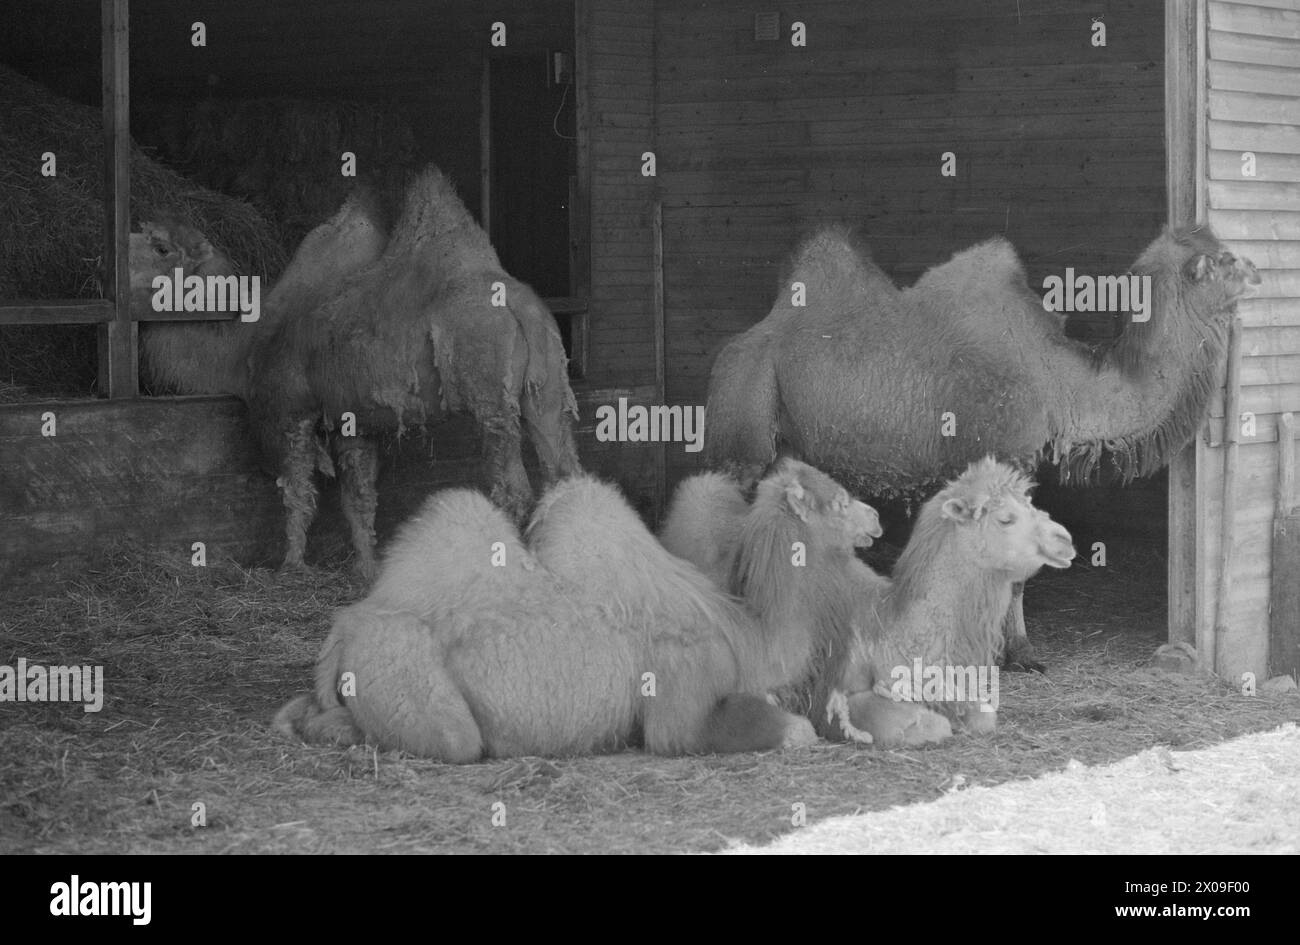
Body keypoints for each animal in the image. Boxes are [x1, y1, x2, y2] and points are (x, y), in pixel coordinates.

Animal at [246, 163, 579, 579]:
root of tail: (524, 308)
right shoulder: (353, 423)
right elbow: (359, 497)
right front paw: (368, 568)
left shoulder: (293, 412)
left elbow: (297, 493)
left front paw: (291, 565)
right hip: (546, 390)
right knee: (563, 473)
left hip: (493, 401)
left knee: (512, 489)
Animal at [274, 462, 883, 764]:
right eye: (838, 501)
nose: (877, 519)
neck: (749, 634)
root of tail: (344, 628)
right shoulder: (683, 688)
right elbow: (791, 730)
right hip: (412, 680)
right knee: (449, 740)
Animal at [660, 457, 1076, 748]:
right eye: (1006, 518)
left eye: (1032, 505)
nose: (1065, 539)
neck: (893, 628)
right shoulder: (848, 694)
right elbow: (930, 724)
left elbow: (984, 715)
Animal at [702, 224, 1258, 670]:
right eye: (1225, 260)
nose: (1257, 270)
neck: (1058, 381)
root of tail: (741, 343)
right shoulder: (1001, 455)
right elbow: (1009, 567)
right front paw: (1012, 654)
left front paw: (1016, 652)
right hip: (744, 421)